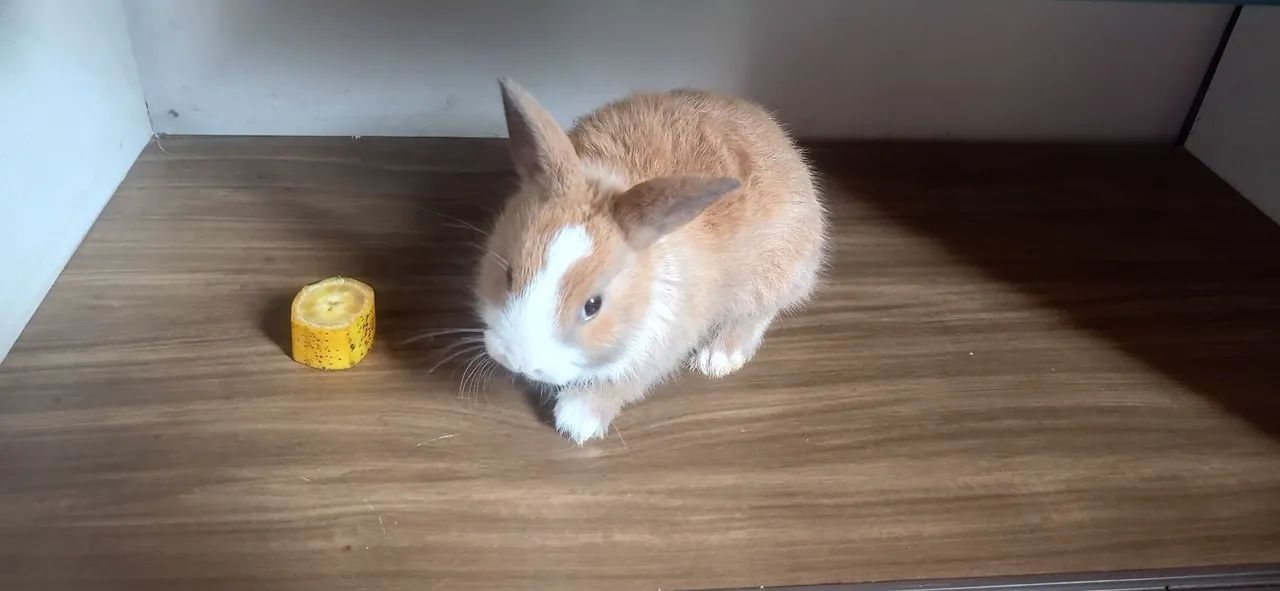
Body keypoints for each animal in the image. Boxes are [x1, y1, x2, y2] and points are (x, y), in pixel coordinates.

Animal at [473, 78, 828, 443]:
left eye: (593, 305)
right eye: (509, 274)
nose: (518, 361)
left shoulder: (663, 344)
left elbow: (627, 381)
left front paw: (577, 420)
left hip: (776, 272)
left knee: (760, 312)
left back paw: (718, 358)